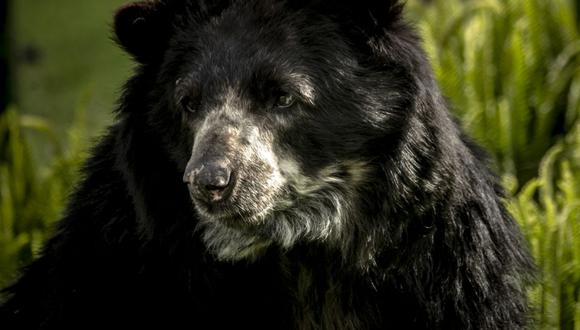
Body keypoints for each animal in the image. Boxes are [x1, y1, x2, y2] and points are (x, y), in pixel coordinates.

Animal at [0, 0, 536, 328]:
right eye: (188, 103)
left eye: (282, 96)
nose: (209, 181)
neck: (299, 251)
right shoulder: (119, 264)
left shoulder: (450, 275)